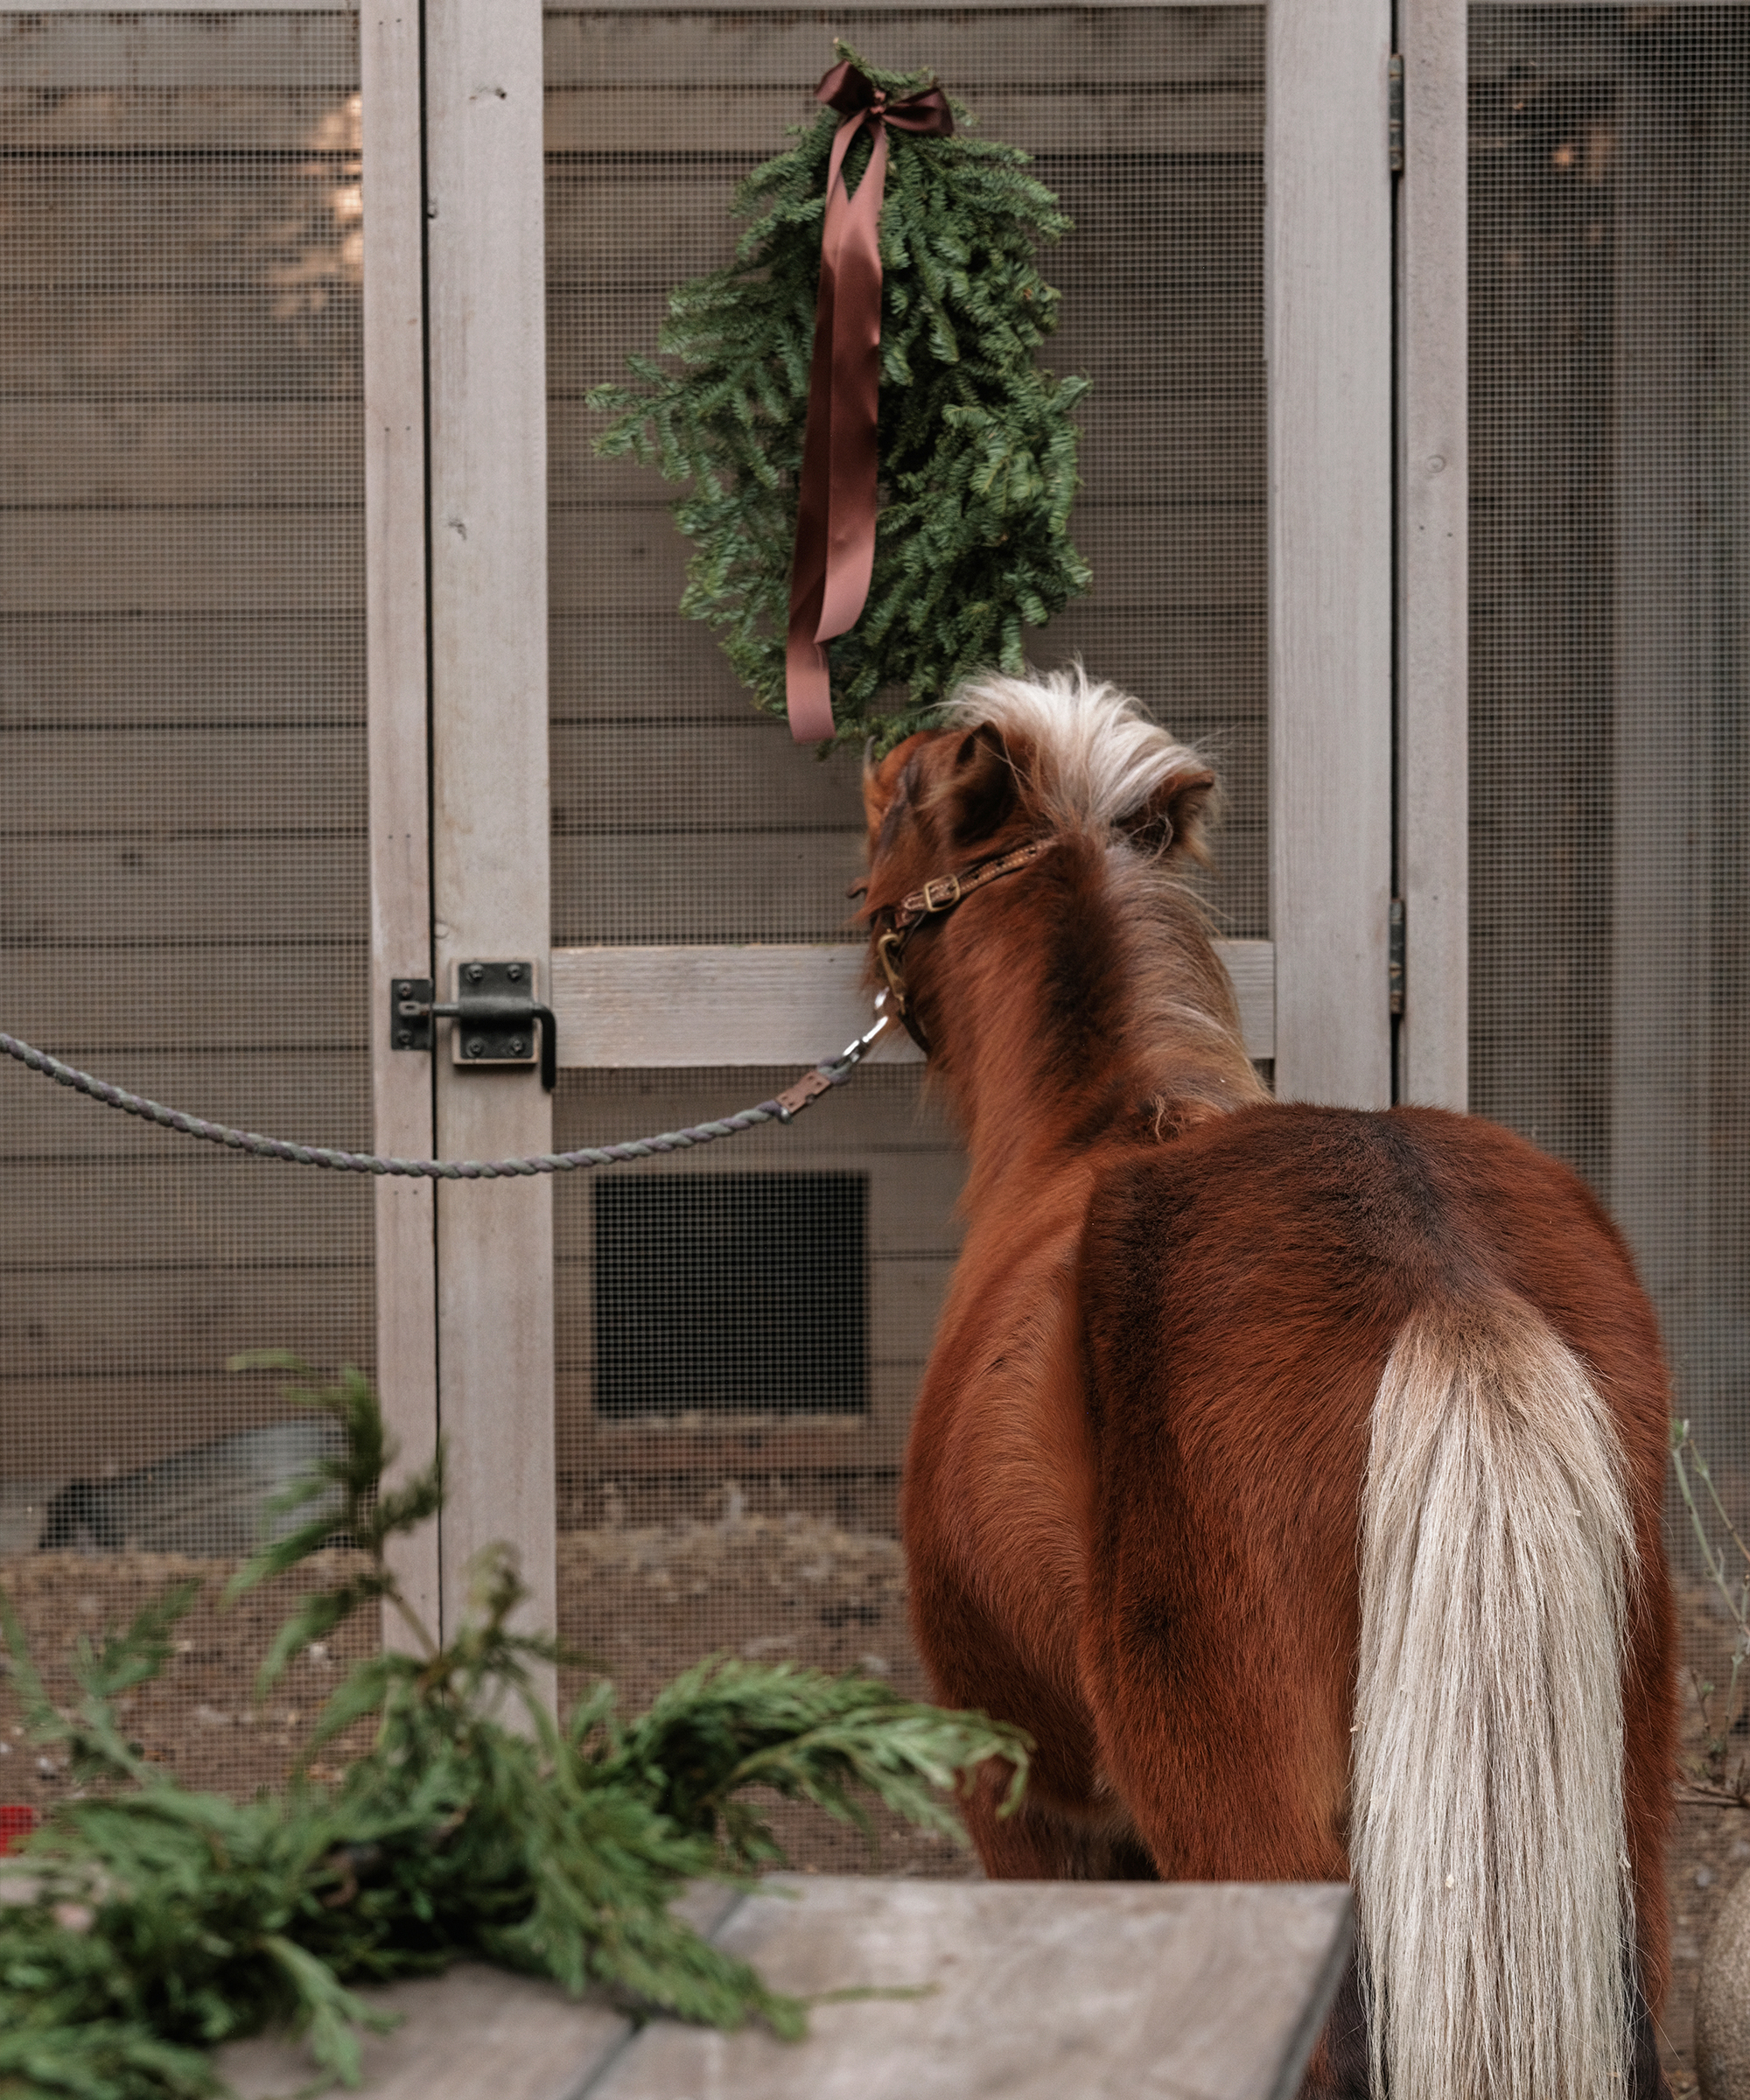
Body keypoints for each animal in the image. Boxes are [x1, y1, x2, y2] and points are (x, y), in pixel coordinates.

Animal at [858, 670, 1677, 2100]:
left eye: (900, 795)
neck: (1100, 1122)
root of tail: (1444, 1287)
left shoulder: (1026, 1802)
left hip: (1250, 1830)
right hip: (1613, 1847)